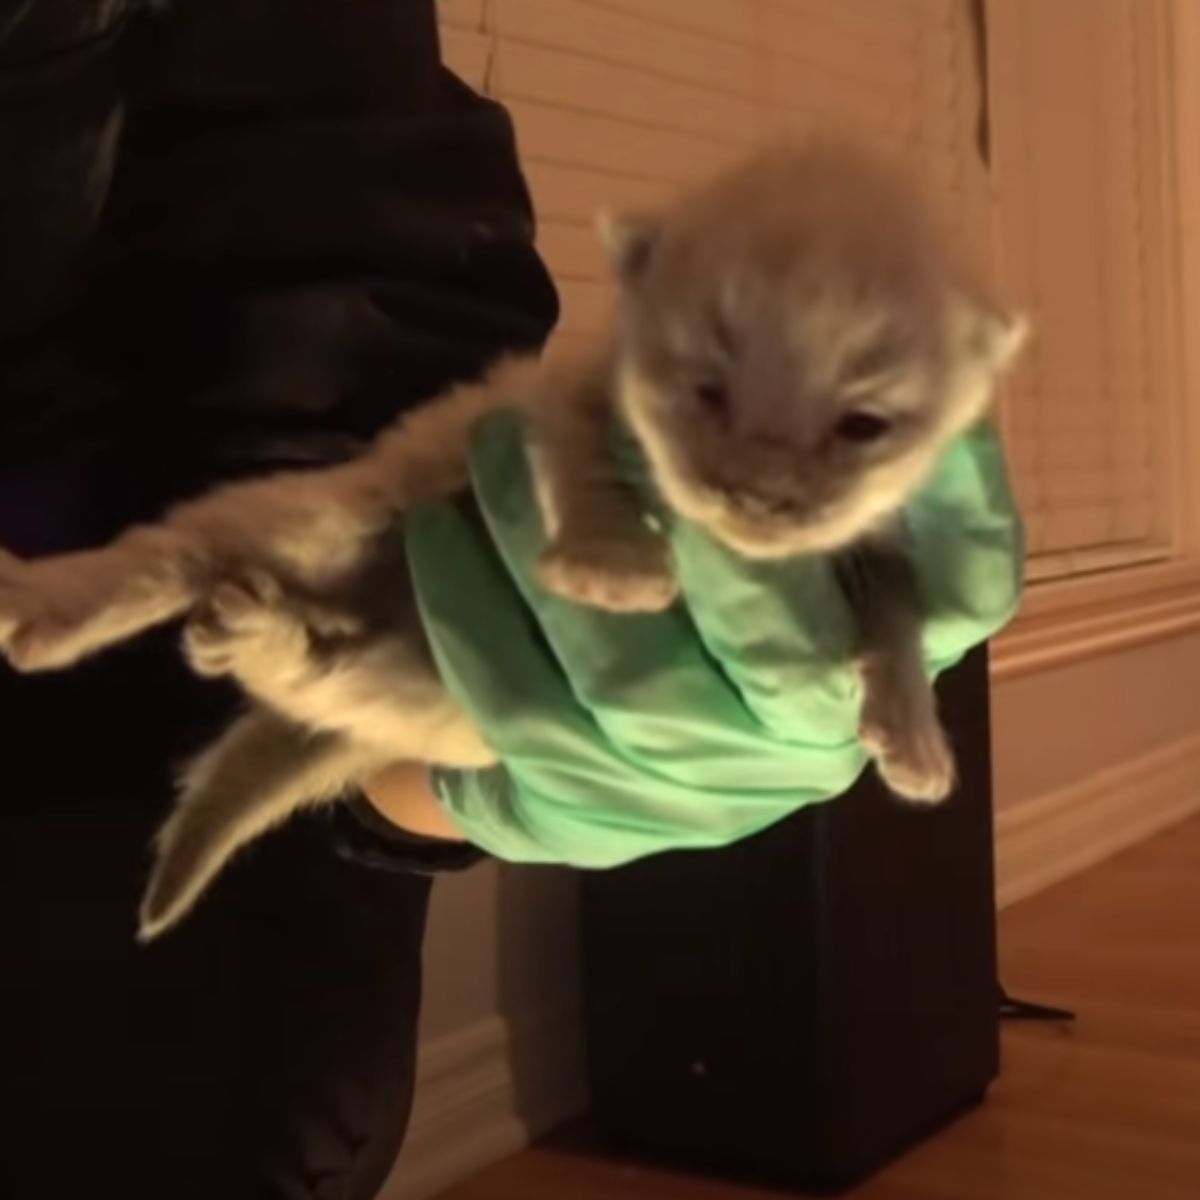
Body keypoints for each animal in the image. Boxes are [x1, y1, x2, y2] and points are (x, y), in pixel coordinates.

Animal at [0, 145, 1027, 940]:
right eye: (706, 389)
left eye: (864, 425)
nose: (760, 499)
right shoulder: (554, 395)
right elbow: (575, 457)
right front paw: (610, 566)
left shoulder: (877, 536)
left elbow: (897, 602)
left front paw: (909, 728)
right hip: (331, 515)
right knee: (174, 554)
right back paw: (47, 605)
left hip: (419, 698)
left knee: (318, 664)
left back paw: (258, 635)